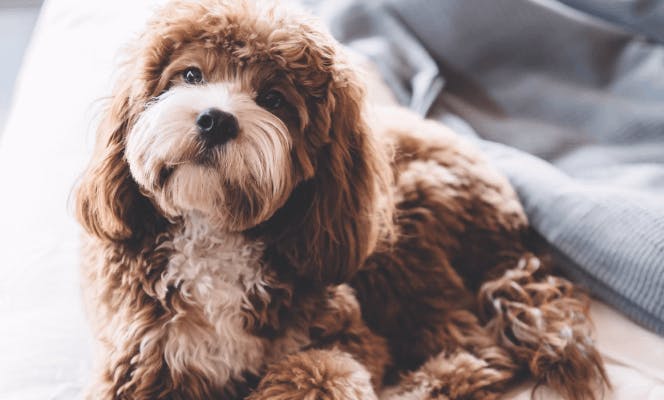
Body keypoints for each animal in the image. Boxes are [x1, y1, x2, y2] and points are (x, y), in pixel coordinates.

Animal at [75, 1, 608, 398]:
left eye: (274, 100)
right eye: (189, 75)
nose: (215, 120)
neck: (215, 232)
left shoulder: (346, 333)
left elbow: (322, 370)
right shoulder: (143, 356)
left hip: (402, 233)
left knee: (475, 347)